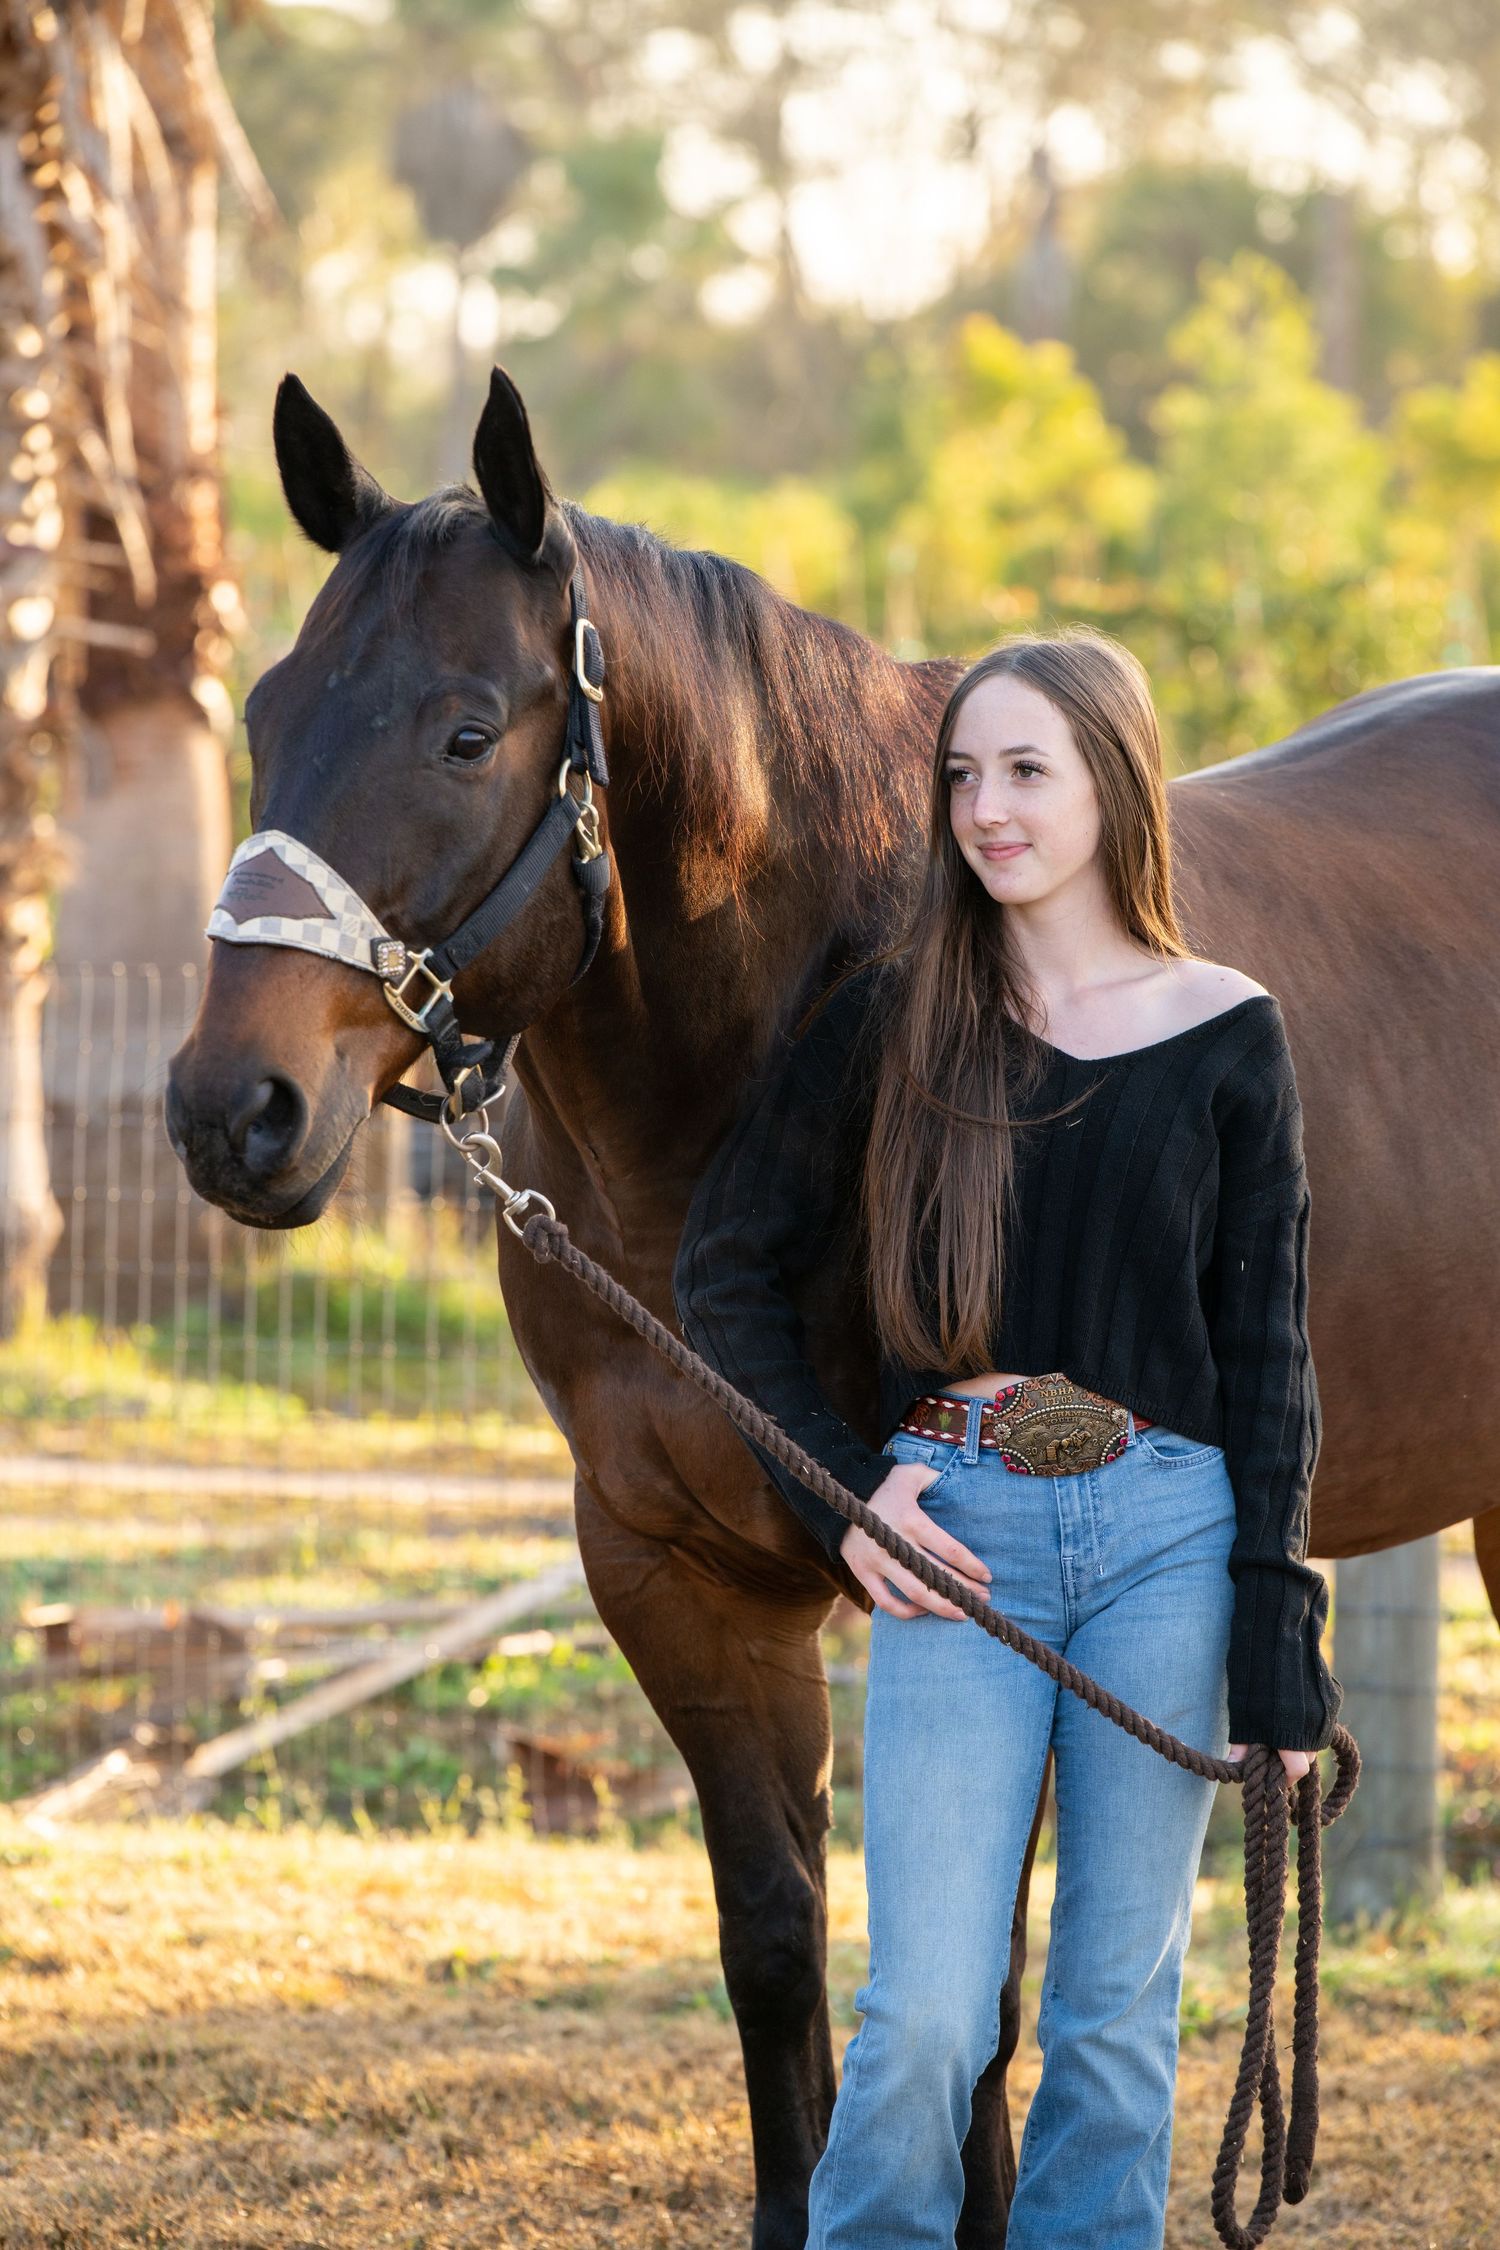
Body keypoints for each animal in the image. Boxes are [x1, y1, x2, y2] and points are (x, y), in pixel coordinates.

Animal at [165, 365, 1500, 2249]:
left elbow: (988, 1992)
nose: (235, 1110)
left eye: (465, 732)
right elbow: (781, 1946)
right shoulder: (673, 1572)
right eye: (268, 711)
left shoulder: (971, 1597)